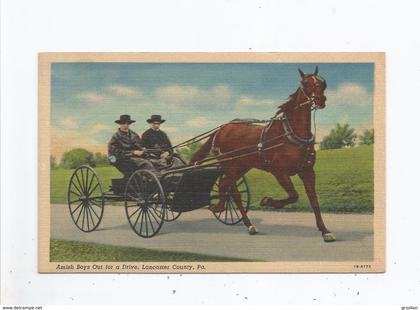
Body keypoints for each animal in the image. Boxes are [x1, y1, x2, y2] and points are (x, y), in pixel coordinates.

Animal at [192, 67, 336, 242]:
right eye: (305, 83)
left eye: (322, 83)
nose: (321, 99)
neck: (289, 134)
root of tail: (221, 129)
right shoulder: (279, 172)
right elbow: (294, 195)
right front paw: (267, 201)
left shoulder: (307, 171)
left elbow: (314, 201)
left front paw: (325, 230)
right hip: (230, 165)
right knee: (230, 188)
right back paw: (240, 219)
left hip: (241, 166)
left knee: (226, 184)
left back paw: (232, 215)